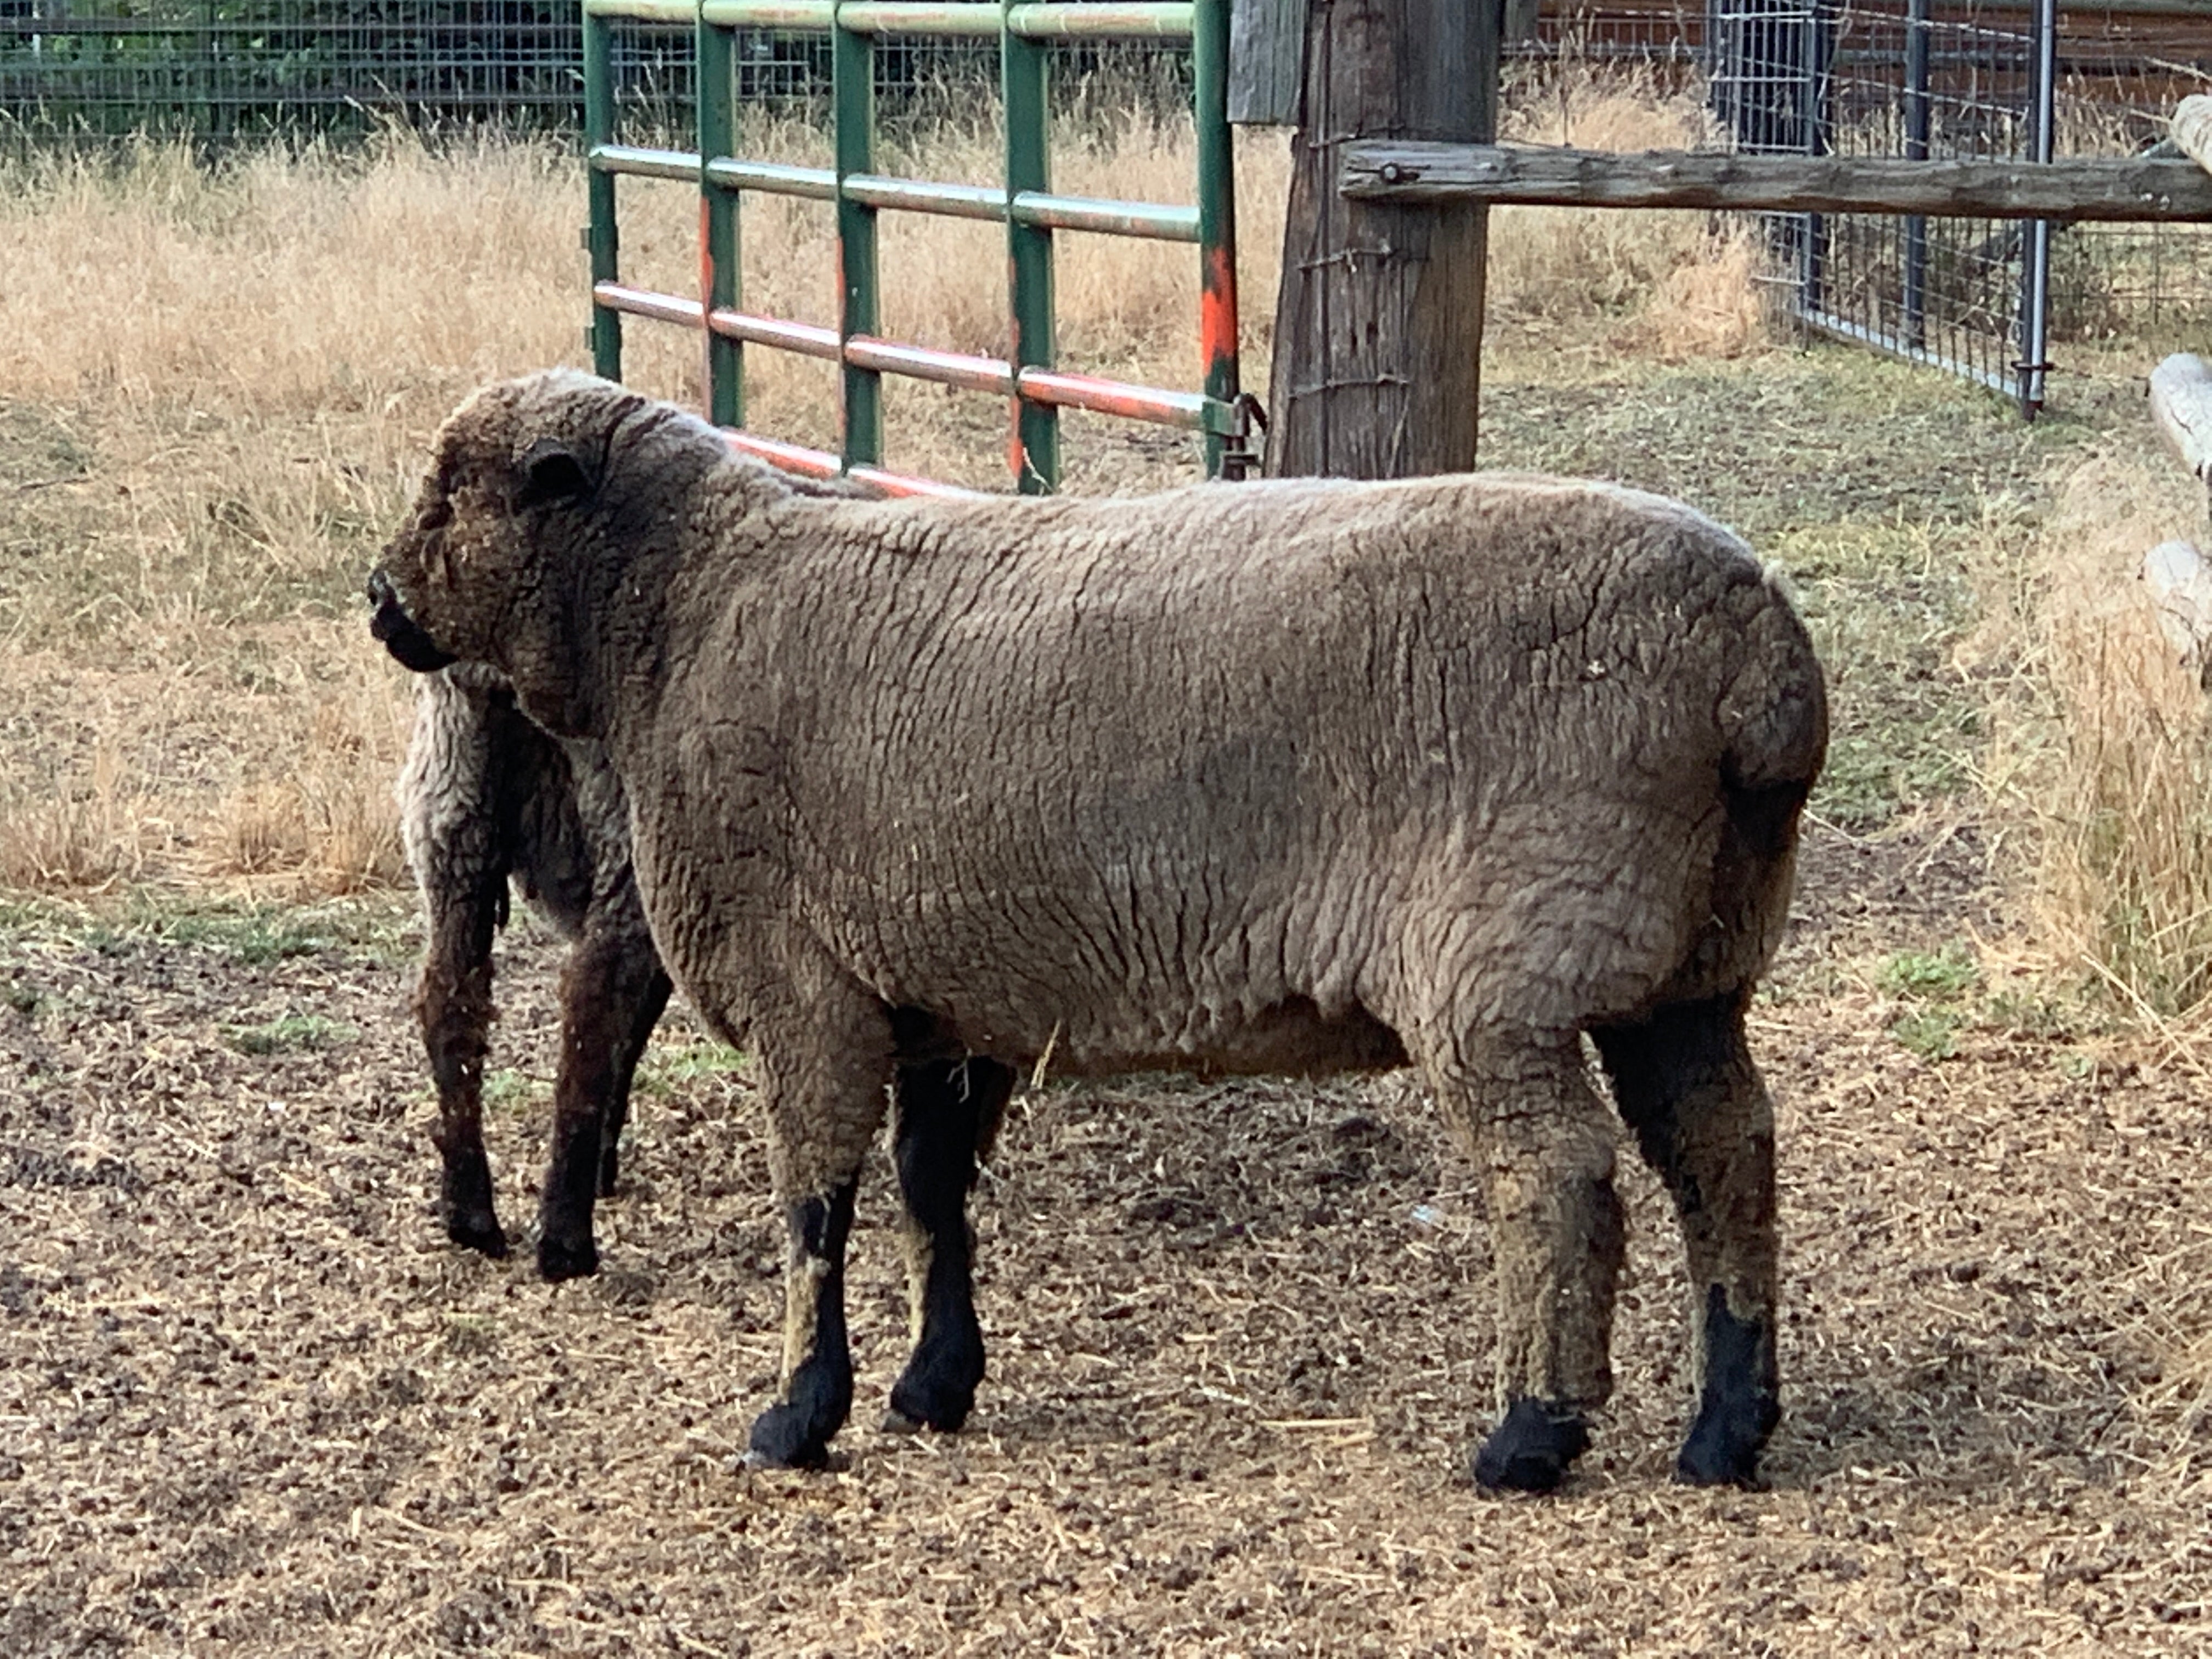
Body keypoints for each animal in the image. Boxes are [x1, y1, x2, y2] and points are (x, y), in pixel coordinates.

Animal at [398, 661, 671, 1281]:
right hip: (622, 812)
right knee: (593, 1005)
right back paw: (567, 1238)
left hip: (452, 797)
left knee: (449, 998)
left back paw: (471, 1213)